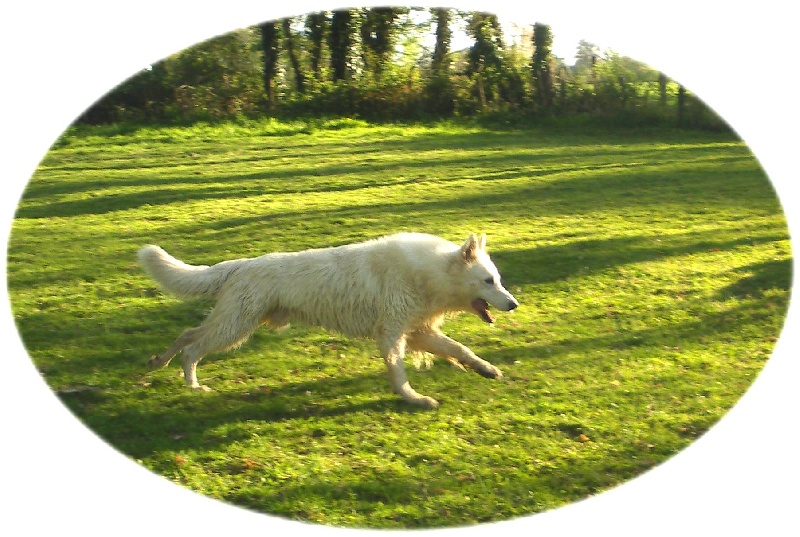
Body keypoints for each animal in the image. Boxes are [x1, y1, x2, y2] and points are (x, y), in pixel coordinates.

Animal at [139, 231, 520, 406]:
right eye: (489, 281)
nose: (514, 304)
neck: (432, 272)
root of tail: (241, 264)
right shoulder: (392, 335)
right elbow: (398, 372)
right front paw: (412, 399)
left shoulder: (416, 332)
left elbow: (460, 350)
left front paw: (487, 370)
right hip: (234, 328)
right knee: (193, 348)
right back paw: (192, 385)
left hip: (232, 323)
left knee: (188, 334)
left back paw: (159, 361)